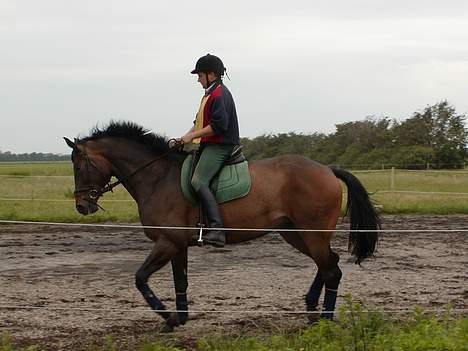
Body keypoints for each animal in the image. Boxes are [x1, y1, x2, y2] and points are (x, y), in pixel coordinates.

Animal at [63, 121, 380, 332]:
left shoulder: (167, 242)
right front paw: (180, 317)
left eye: (78, 166)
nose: (82, 206)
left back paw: (324, 318)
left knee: (331, 269)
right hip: (295, 234)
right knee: (328, 265)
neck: (157, 177)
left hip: (311, 234)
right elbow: (180, 282)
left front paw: (167, 317)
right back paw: (312, 307)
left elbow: (140, 278)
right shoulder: (177, 245)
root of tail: (327, 169)